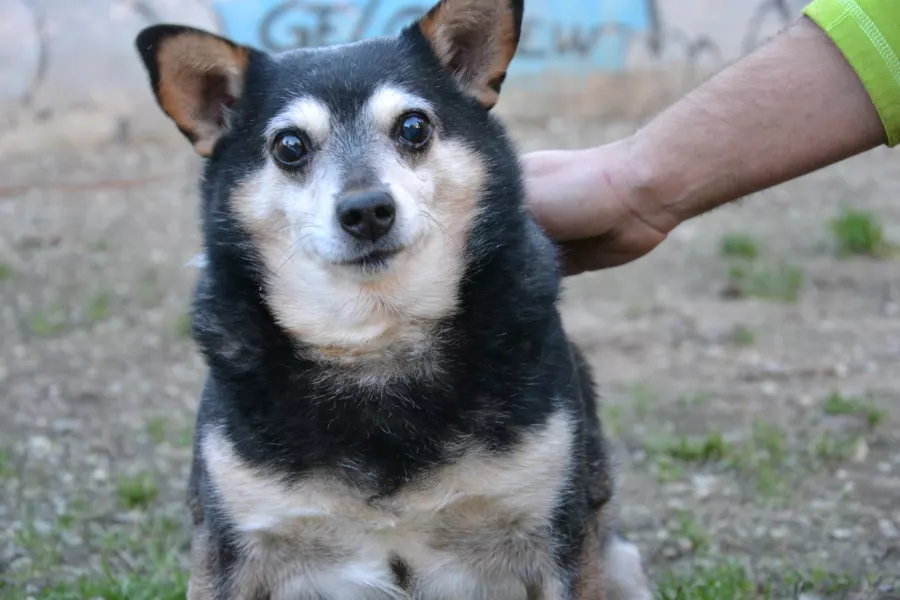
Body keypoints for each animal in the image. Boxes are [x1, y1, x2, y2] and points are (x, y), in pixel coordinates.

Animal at [134, 0, 652, 596]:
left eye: (413, 127)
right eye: (289, 146)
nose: (366, 211)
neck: (377, 342)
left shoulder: (560, 531)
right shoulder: (229, 546)